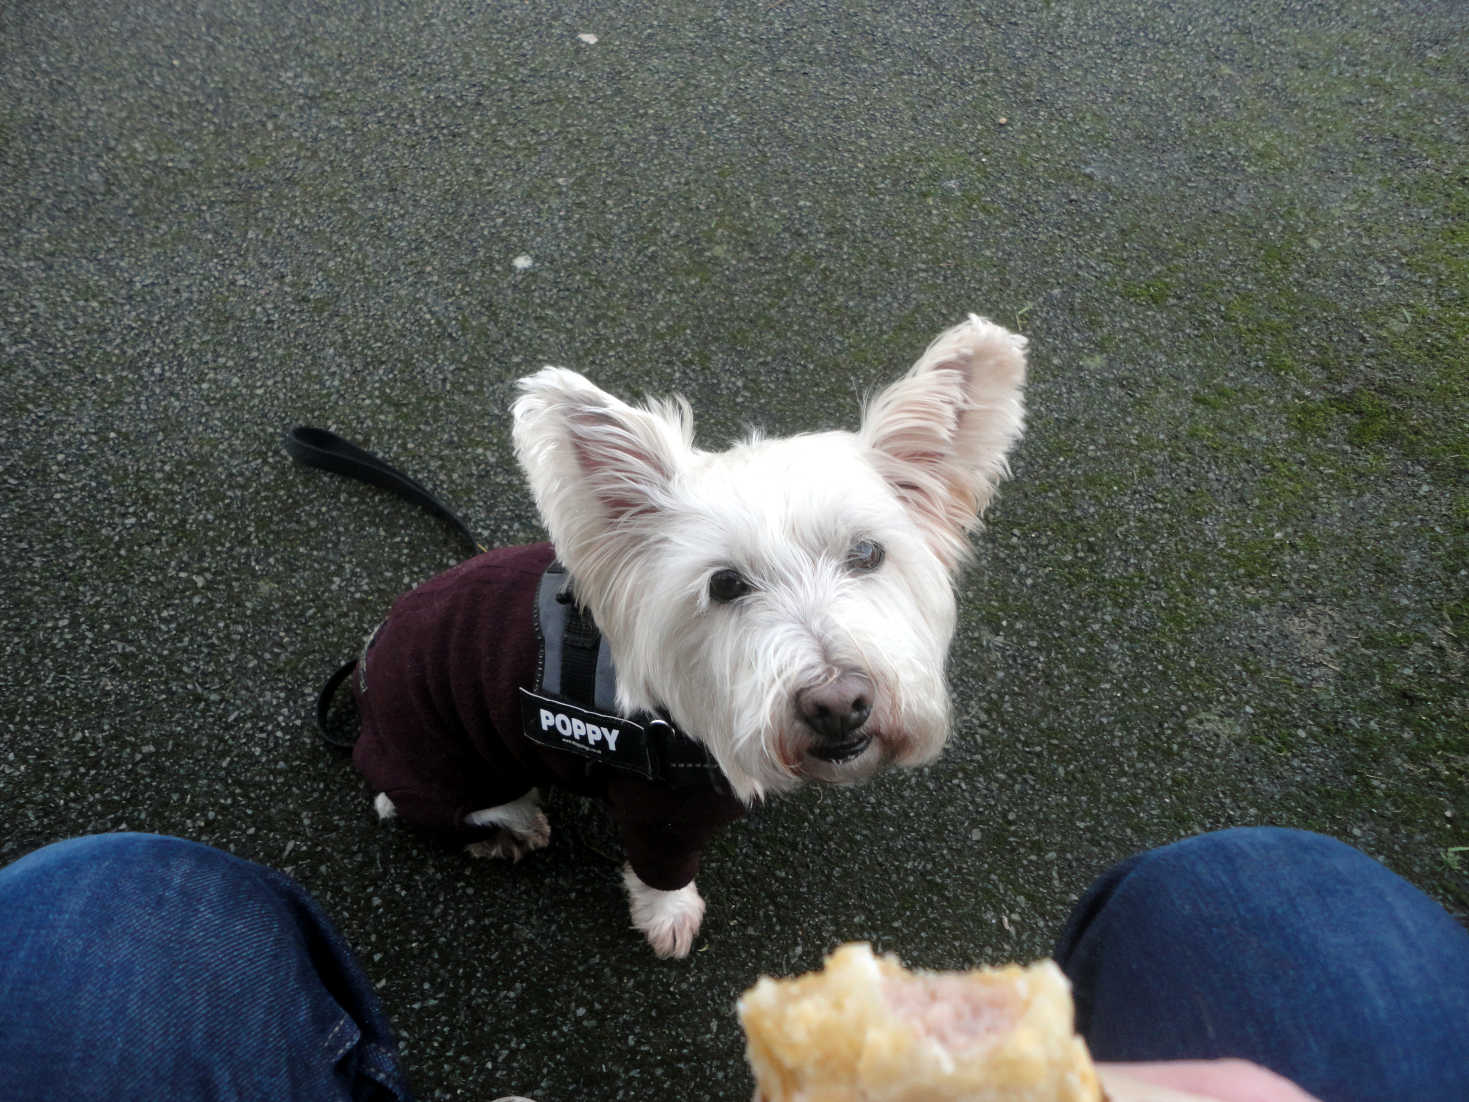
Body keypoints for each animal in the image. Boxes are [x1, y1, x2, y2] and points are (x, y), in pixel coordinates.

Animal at [349, 317, 1028, 958]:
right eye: (725, 584)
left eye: (867, 553)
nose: (839, 704)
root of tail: (364, 684)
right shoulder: (658, 816)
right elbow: (661, 877)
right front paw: (669, 919)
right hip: (451, 763)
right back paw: (511, 828)